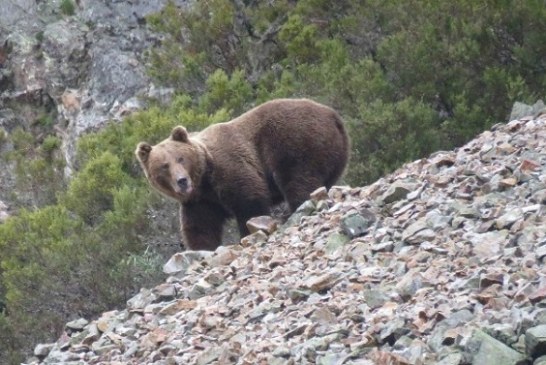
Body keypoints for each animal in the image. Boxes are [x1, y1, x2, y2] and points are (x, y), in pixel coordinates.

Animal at [136, 97, 348, 250]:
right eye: (164, 166)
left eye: (180, 158)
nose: (182, 181)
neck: (204, 179)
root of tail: (333, 115)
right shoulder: (200, 201)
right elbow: (200, 227)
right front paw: (202, 249)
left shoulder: (230, 168)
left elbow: (249, 201)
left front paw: (249, 233)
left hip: (294, 141)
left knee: (298, 180)